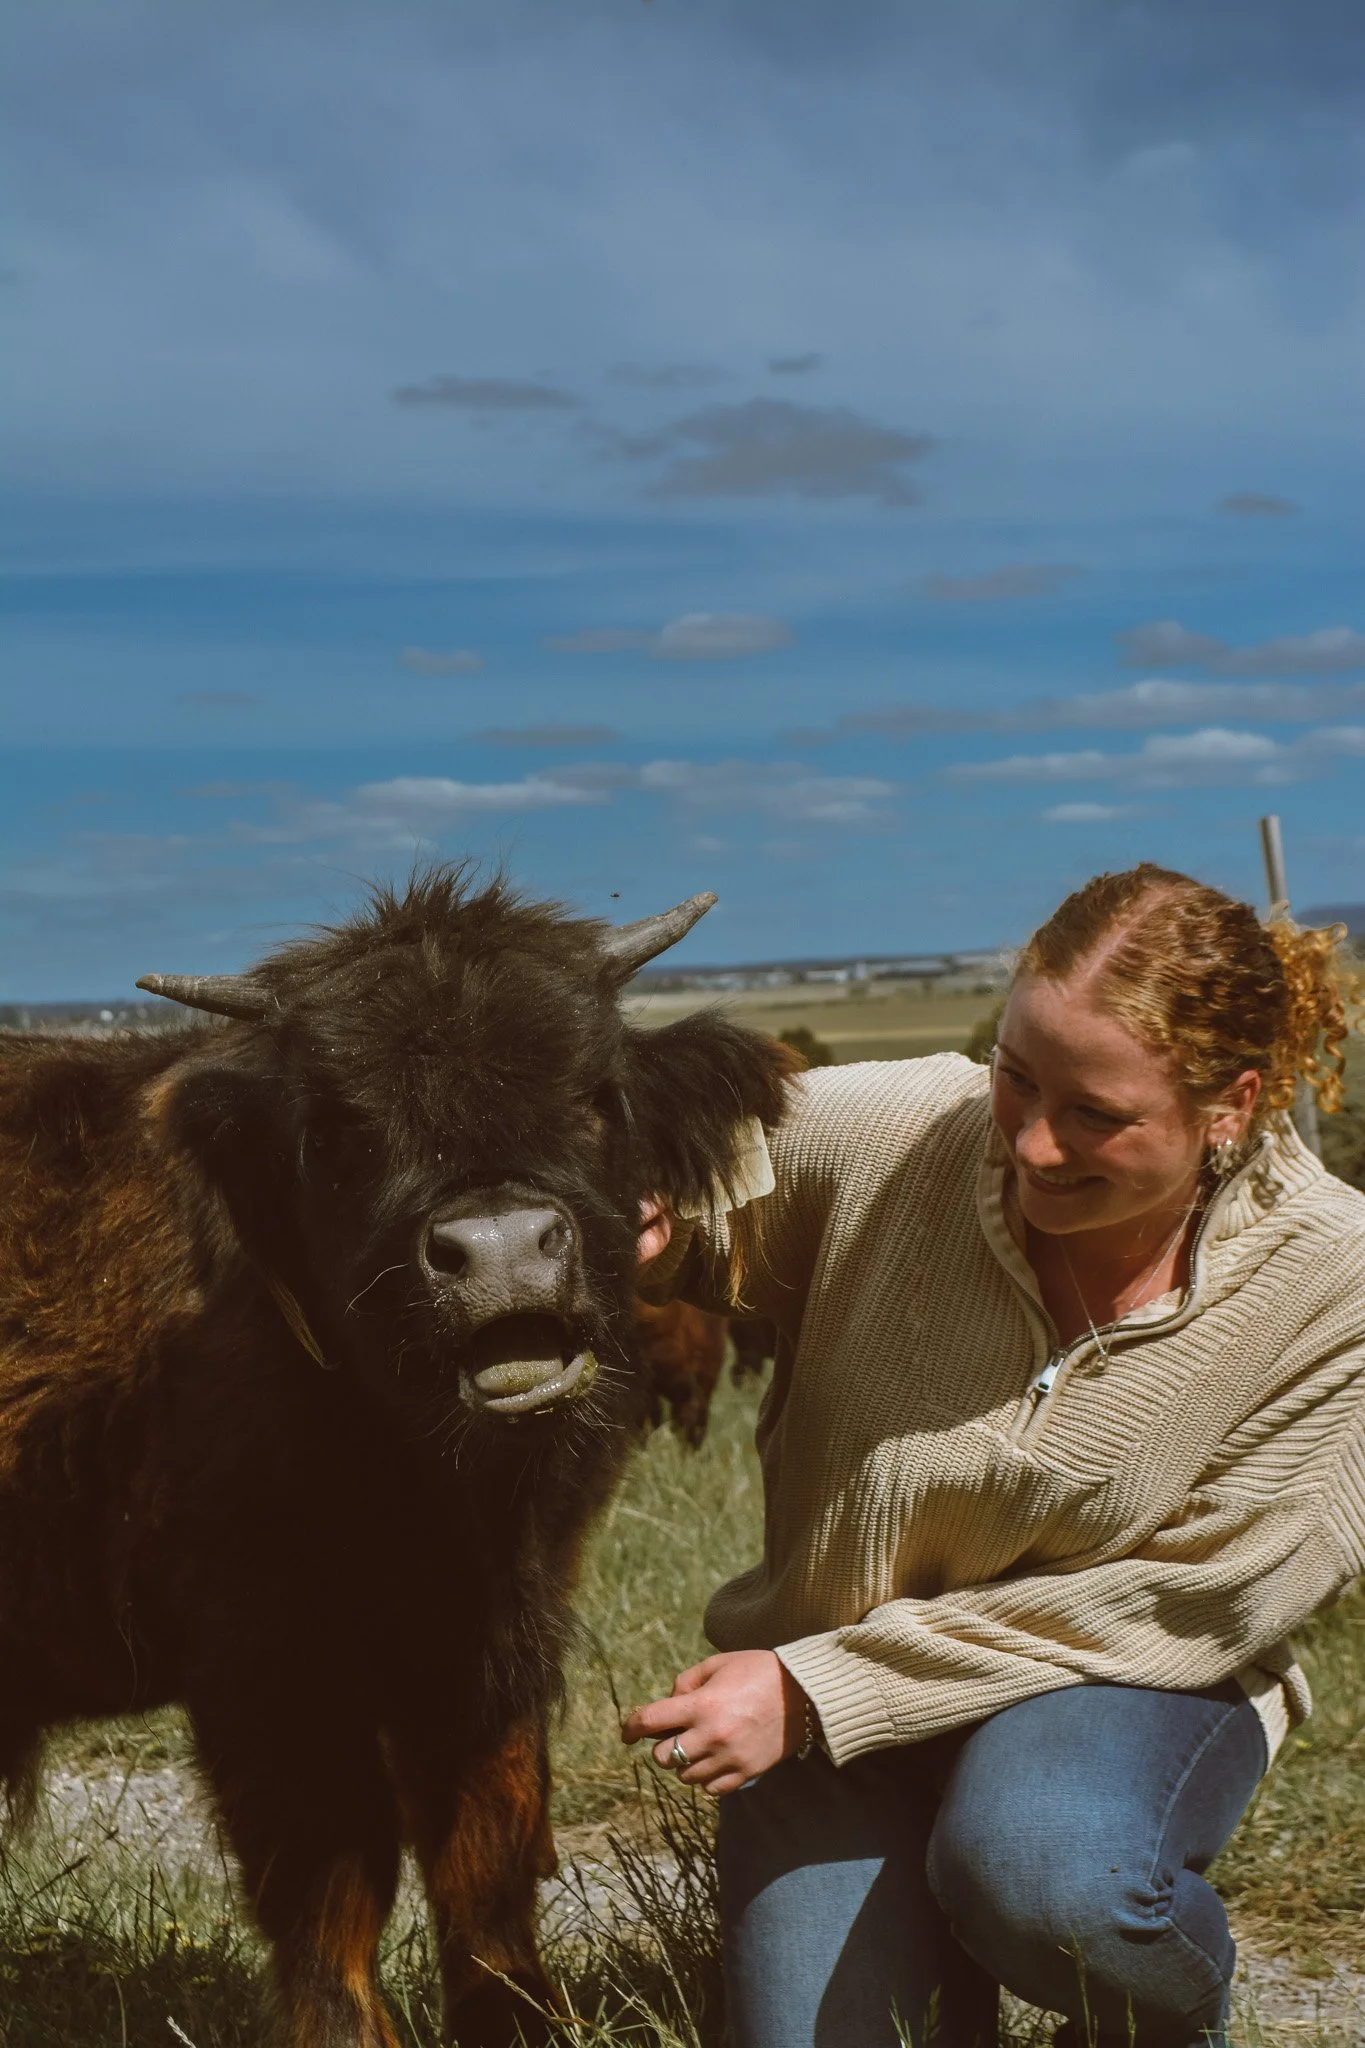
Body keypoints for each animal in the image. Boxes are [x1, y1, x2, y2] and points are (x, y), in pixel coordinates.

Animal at [0, 870, 795, 2048]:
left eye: (597, 1091)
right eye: (336, 1128)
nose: (502, 1247)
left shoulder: (490, 1642)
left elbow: (485, 1856)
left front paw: (519, 2020)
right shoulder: (274, 1672)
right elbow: (335, 1885)